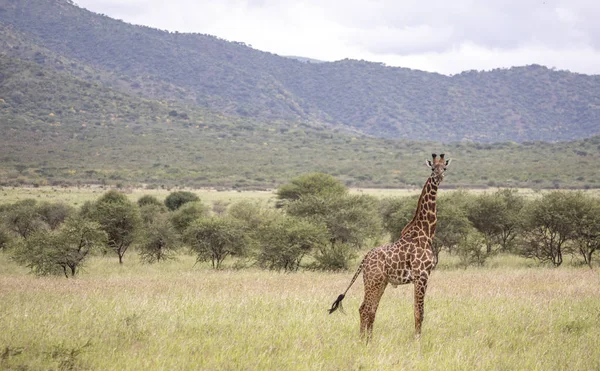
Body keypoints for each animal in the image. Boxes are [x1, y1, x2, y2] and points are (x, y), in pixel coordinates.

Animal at [328, 153, 450, 340]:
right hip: (374, 281)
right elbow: (419, 312)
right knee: (365, 309)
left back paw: (368, 339)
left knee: (369, 309)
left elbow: (417, 311)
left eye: (444, 167)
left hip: (381, 282)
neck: (426, 232)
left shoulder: (422, 277)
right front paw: (418, 340)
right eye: (432, 168)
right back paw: (363, 340)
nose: (439, 176)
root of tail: (364, 259)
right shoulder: (421, 275)